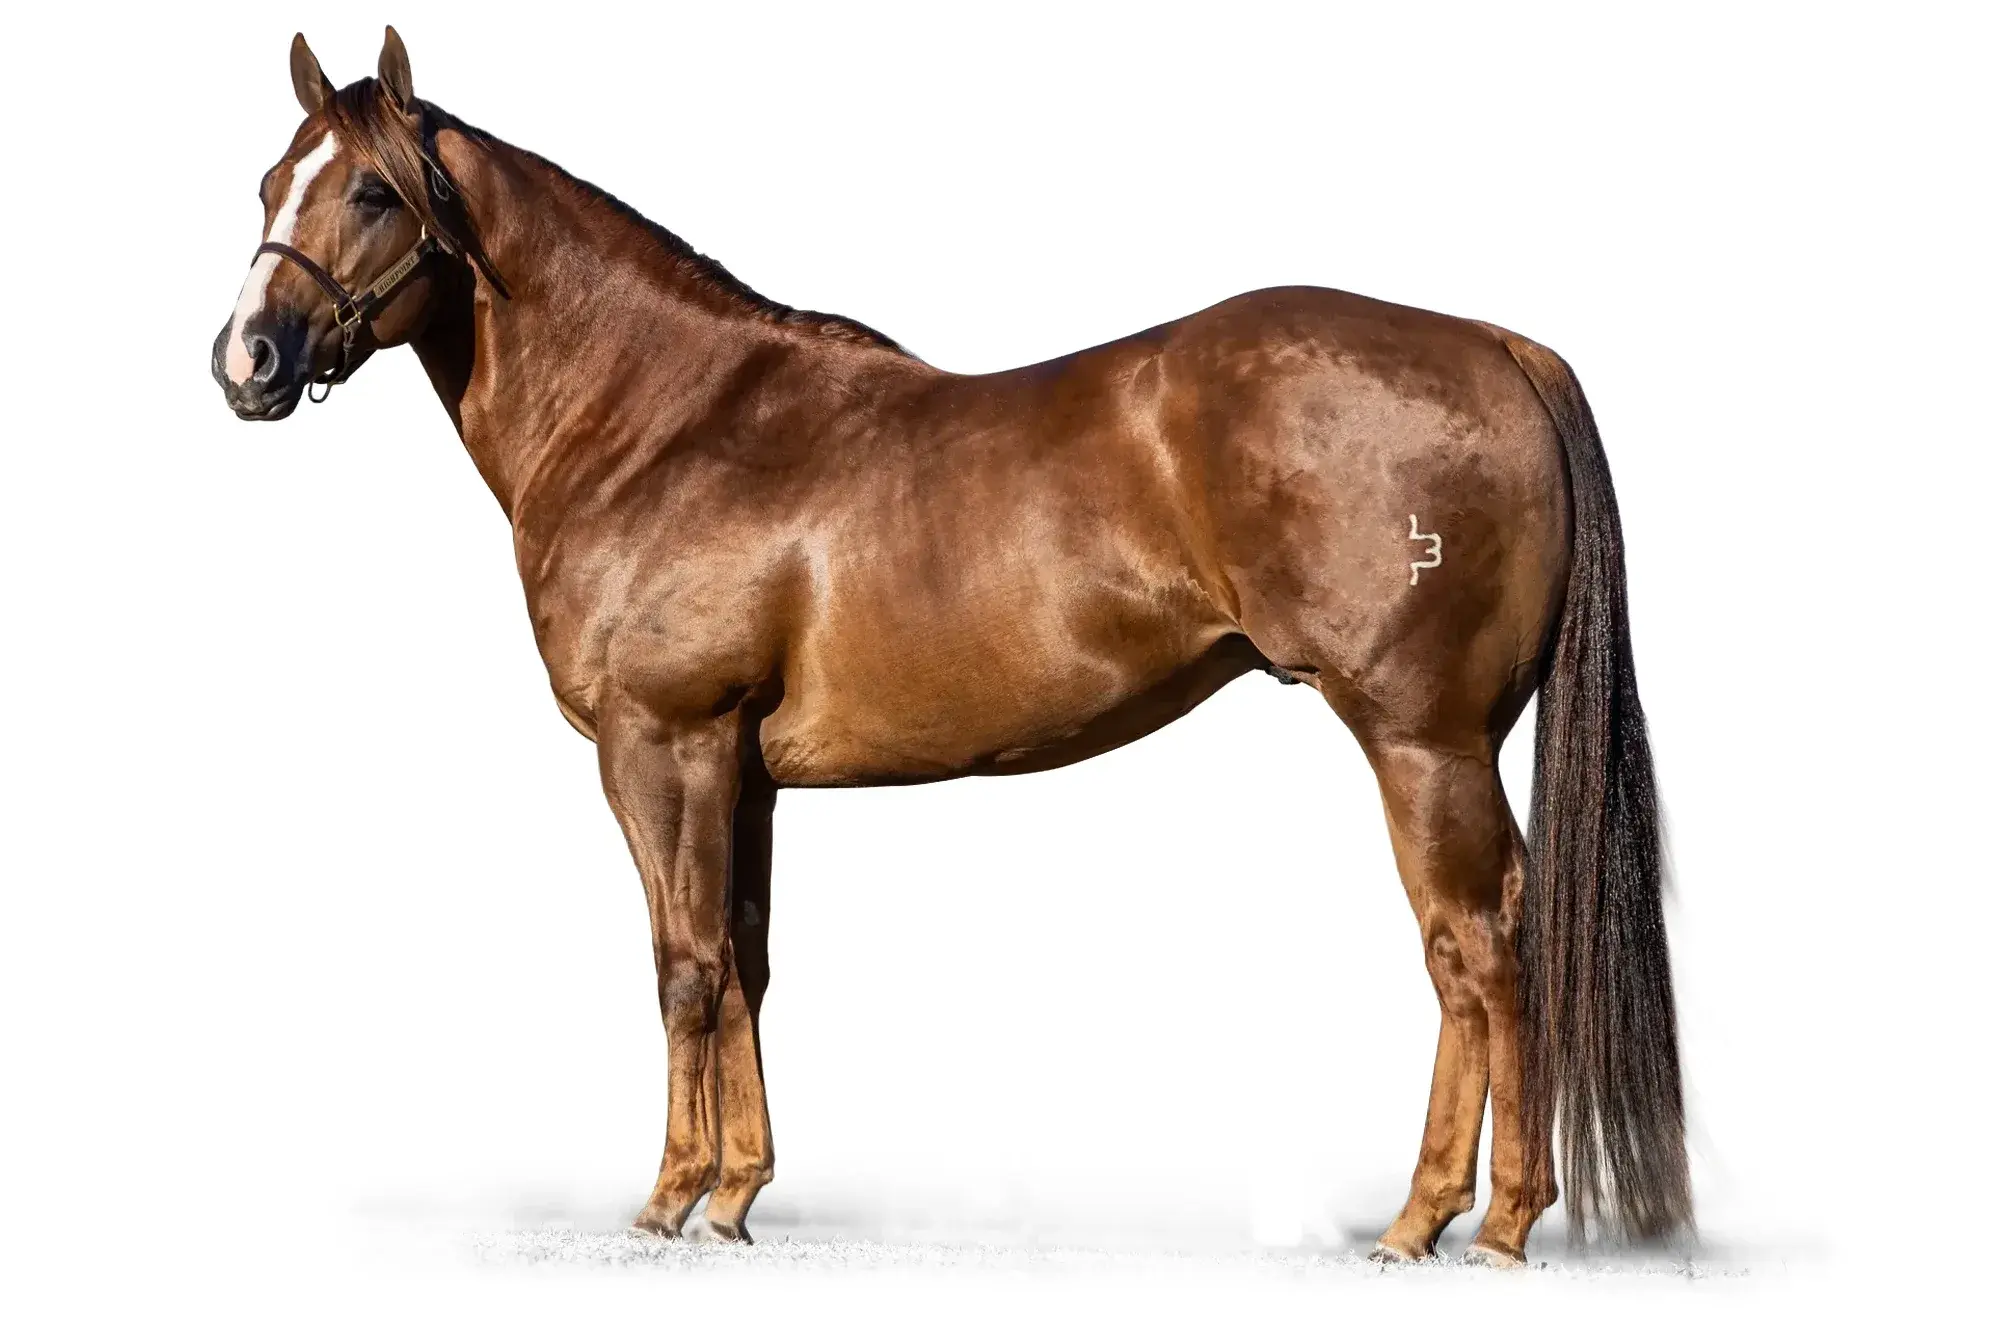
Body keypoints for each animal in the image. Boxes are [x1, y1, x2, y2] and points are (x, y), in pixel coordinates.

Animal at [211, 27, 1691, 1264]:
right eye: (271, 181)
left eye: (372, 193)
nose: (248, 360)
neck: (665, 420)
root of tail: (1497, 346)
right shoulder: (742, 773)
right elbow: (745, 963)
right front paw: (737, 1196)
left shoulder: (659, 744)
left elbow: (683, 967)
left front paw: (666, 1201)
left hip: (1418, 740)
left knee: (1473, 952)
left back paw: (1458, 1223)